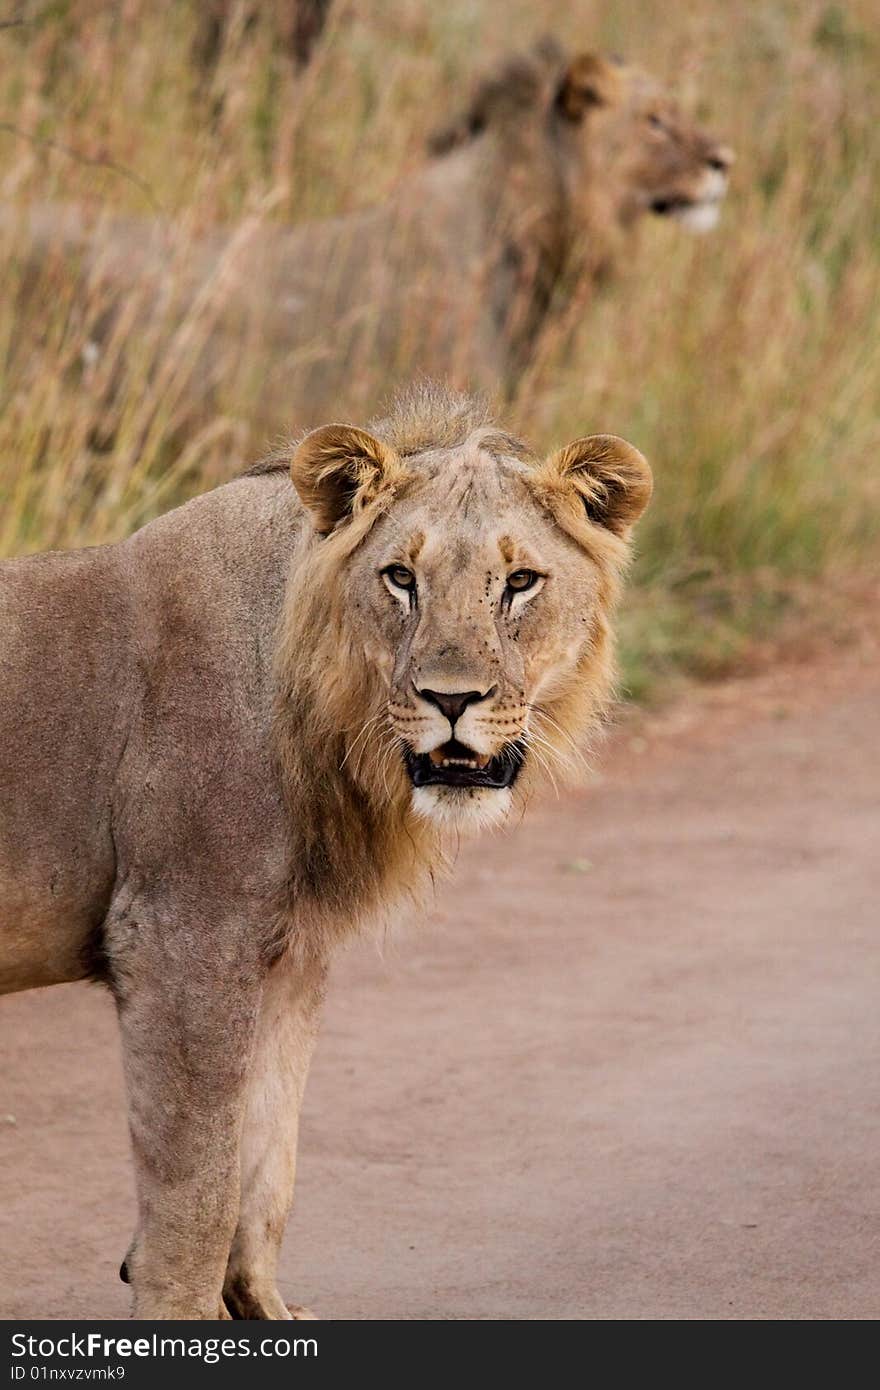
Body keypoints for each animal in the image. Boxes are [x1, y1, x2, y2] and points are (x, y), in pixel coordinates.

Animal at [0, 380, 645, 1312]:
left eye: (520, 583)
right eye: (400, 578)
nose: (452, 700)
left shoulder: (288, 954)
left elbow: (267, 1160)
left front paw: (261, 1307)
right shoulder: (179, 935)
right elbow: (198, 1183)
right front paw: (178, 1311)